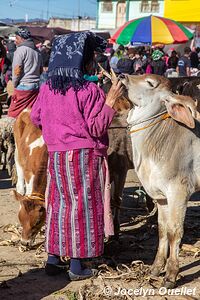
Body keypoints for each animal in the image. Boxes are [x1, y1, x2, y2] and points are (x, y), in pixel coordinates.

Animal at [122, 73, 200, 288]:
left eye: (150, 83)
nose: (122, 76)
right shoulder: (161, 197)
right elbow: (163, 230)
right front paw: (156, 268)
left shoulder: (179, 192)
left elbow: (175, 231)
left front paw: (171, 274)